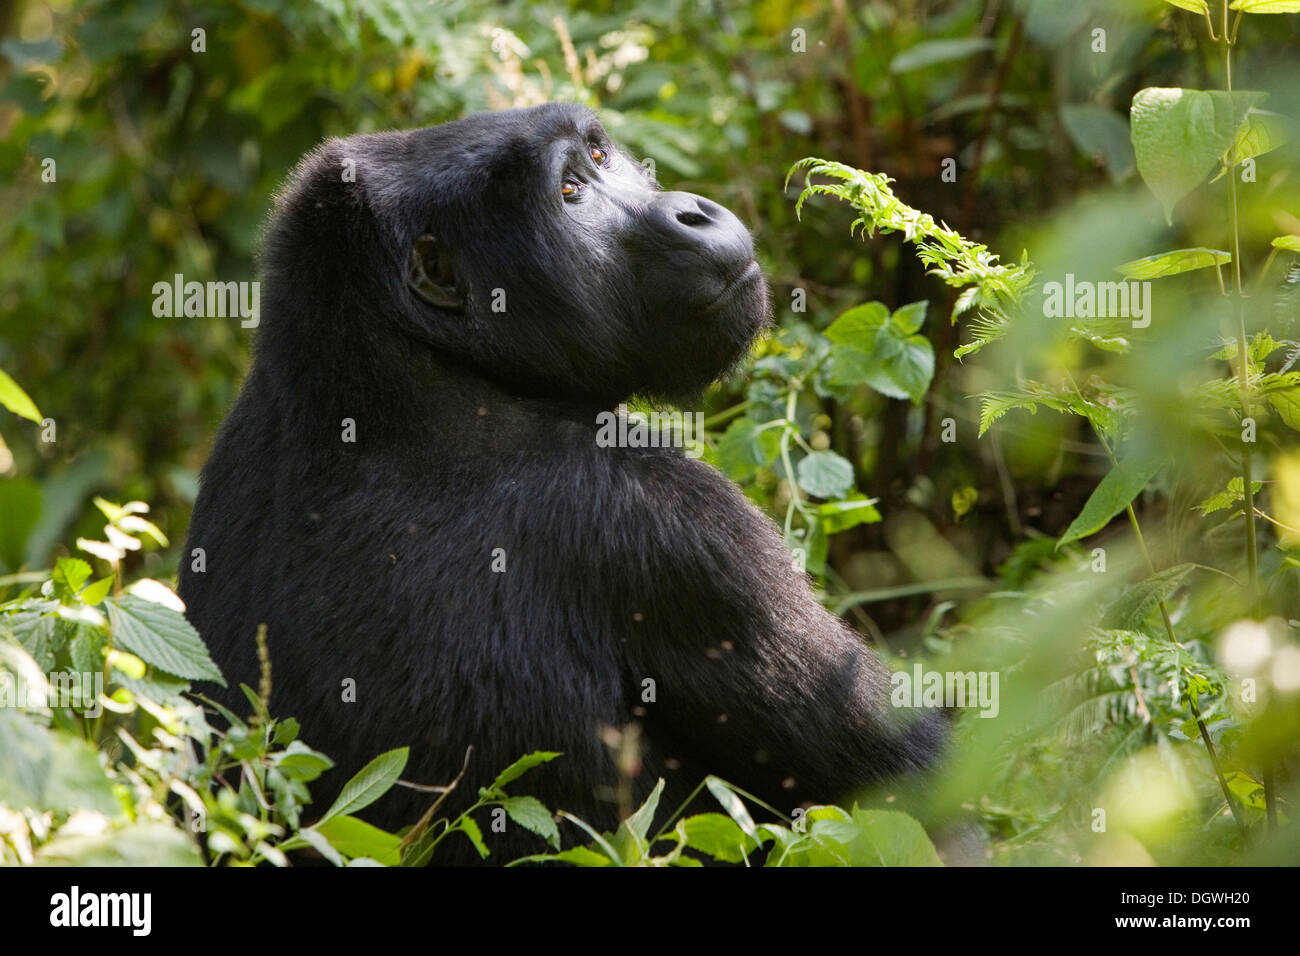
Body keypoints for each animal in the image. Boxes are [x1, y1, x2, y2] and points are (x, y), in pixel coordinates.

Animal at [178, 104, 941, 868]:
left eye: (600, 156)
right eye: (570, 193)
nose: (692, 212)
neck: (399, 366)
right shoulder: (682, 523)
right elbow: (921, 778)